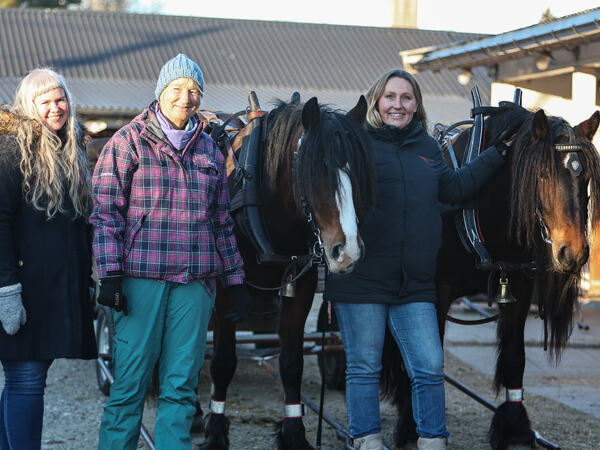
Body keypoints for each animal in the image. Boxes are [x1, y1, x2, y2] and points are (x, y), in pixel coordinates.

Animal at [200, 93, 376, 448]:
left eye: (359, 174)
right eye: (315, 172)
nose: (347, 251)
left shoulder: (301, 288)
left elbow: (291, 362)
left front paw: (294, 433)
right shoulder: (226, 294)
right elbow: (223, 362)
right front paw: (215, 432)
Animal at [382, 103, 600, 450]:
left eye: (587, 177)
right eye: (543, 174)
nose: (573, 252)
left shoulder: (519, 289)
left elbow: (514, 358)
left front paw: (515, 430)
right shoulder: (436, 292)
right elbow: (425, 354)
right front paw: (412, 426)